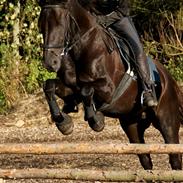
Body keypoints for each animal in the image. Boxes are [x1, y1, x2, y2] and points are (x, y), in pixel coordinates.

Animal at [37, 0, 183, 172]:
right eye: (41, 25)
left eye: (60, 24)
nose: (50, 63)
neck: (84, 47)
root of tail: (170, 81)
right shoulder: (71, 88)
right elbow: (49, 86)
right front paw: (64, 123)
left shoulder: (108, 89)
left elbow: (87, 90)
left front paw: (96, 120)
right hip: (132, 125)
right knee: (145, 159)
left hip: (168, 124)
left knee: (175, 159)